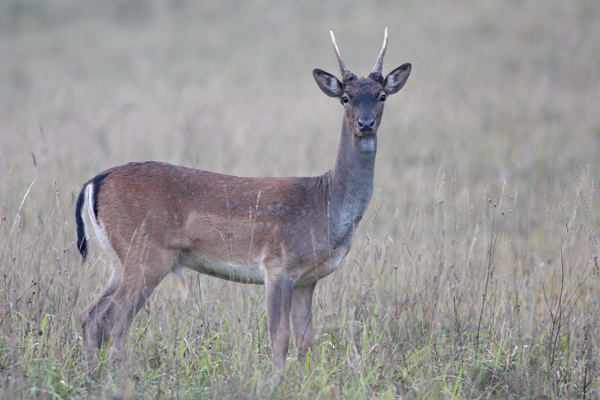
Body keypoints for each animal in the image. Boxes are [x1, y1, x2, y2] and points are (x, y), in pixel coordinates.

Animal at [75, 29, 410, 376]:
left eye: (381, 96)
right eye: (346, 97)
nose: (366, 123)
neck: (326, 204)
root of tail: (94, 182)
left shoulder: (308, 278)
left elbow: (306, 338)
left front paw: (306, 381)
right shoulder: (278, 265)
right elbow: (280, 336)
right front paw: (277, 382)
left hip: (120, 259)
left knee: (90, 316)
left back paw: (93, 377)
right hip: (147, 254)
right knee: (114, 321)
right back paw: (120, 379)